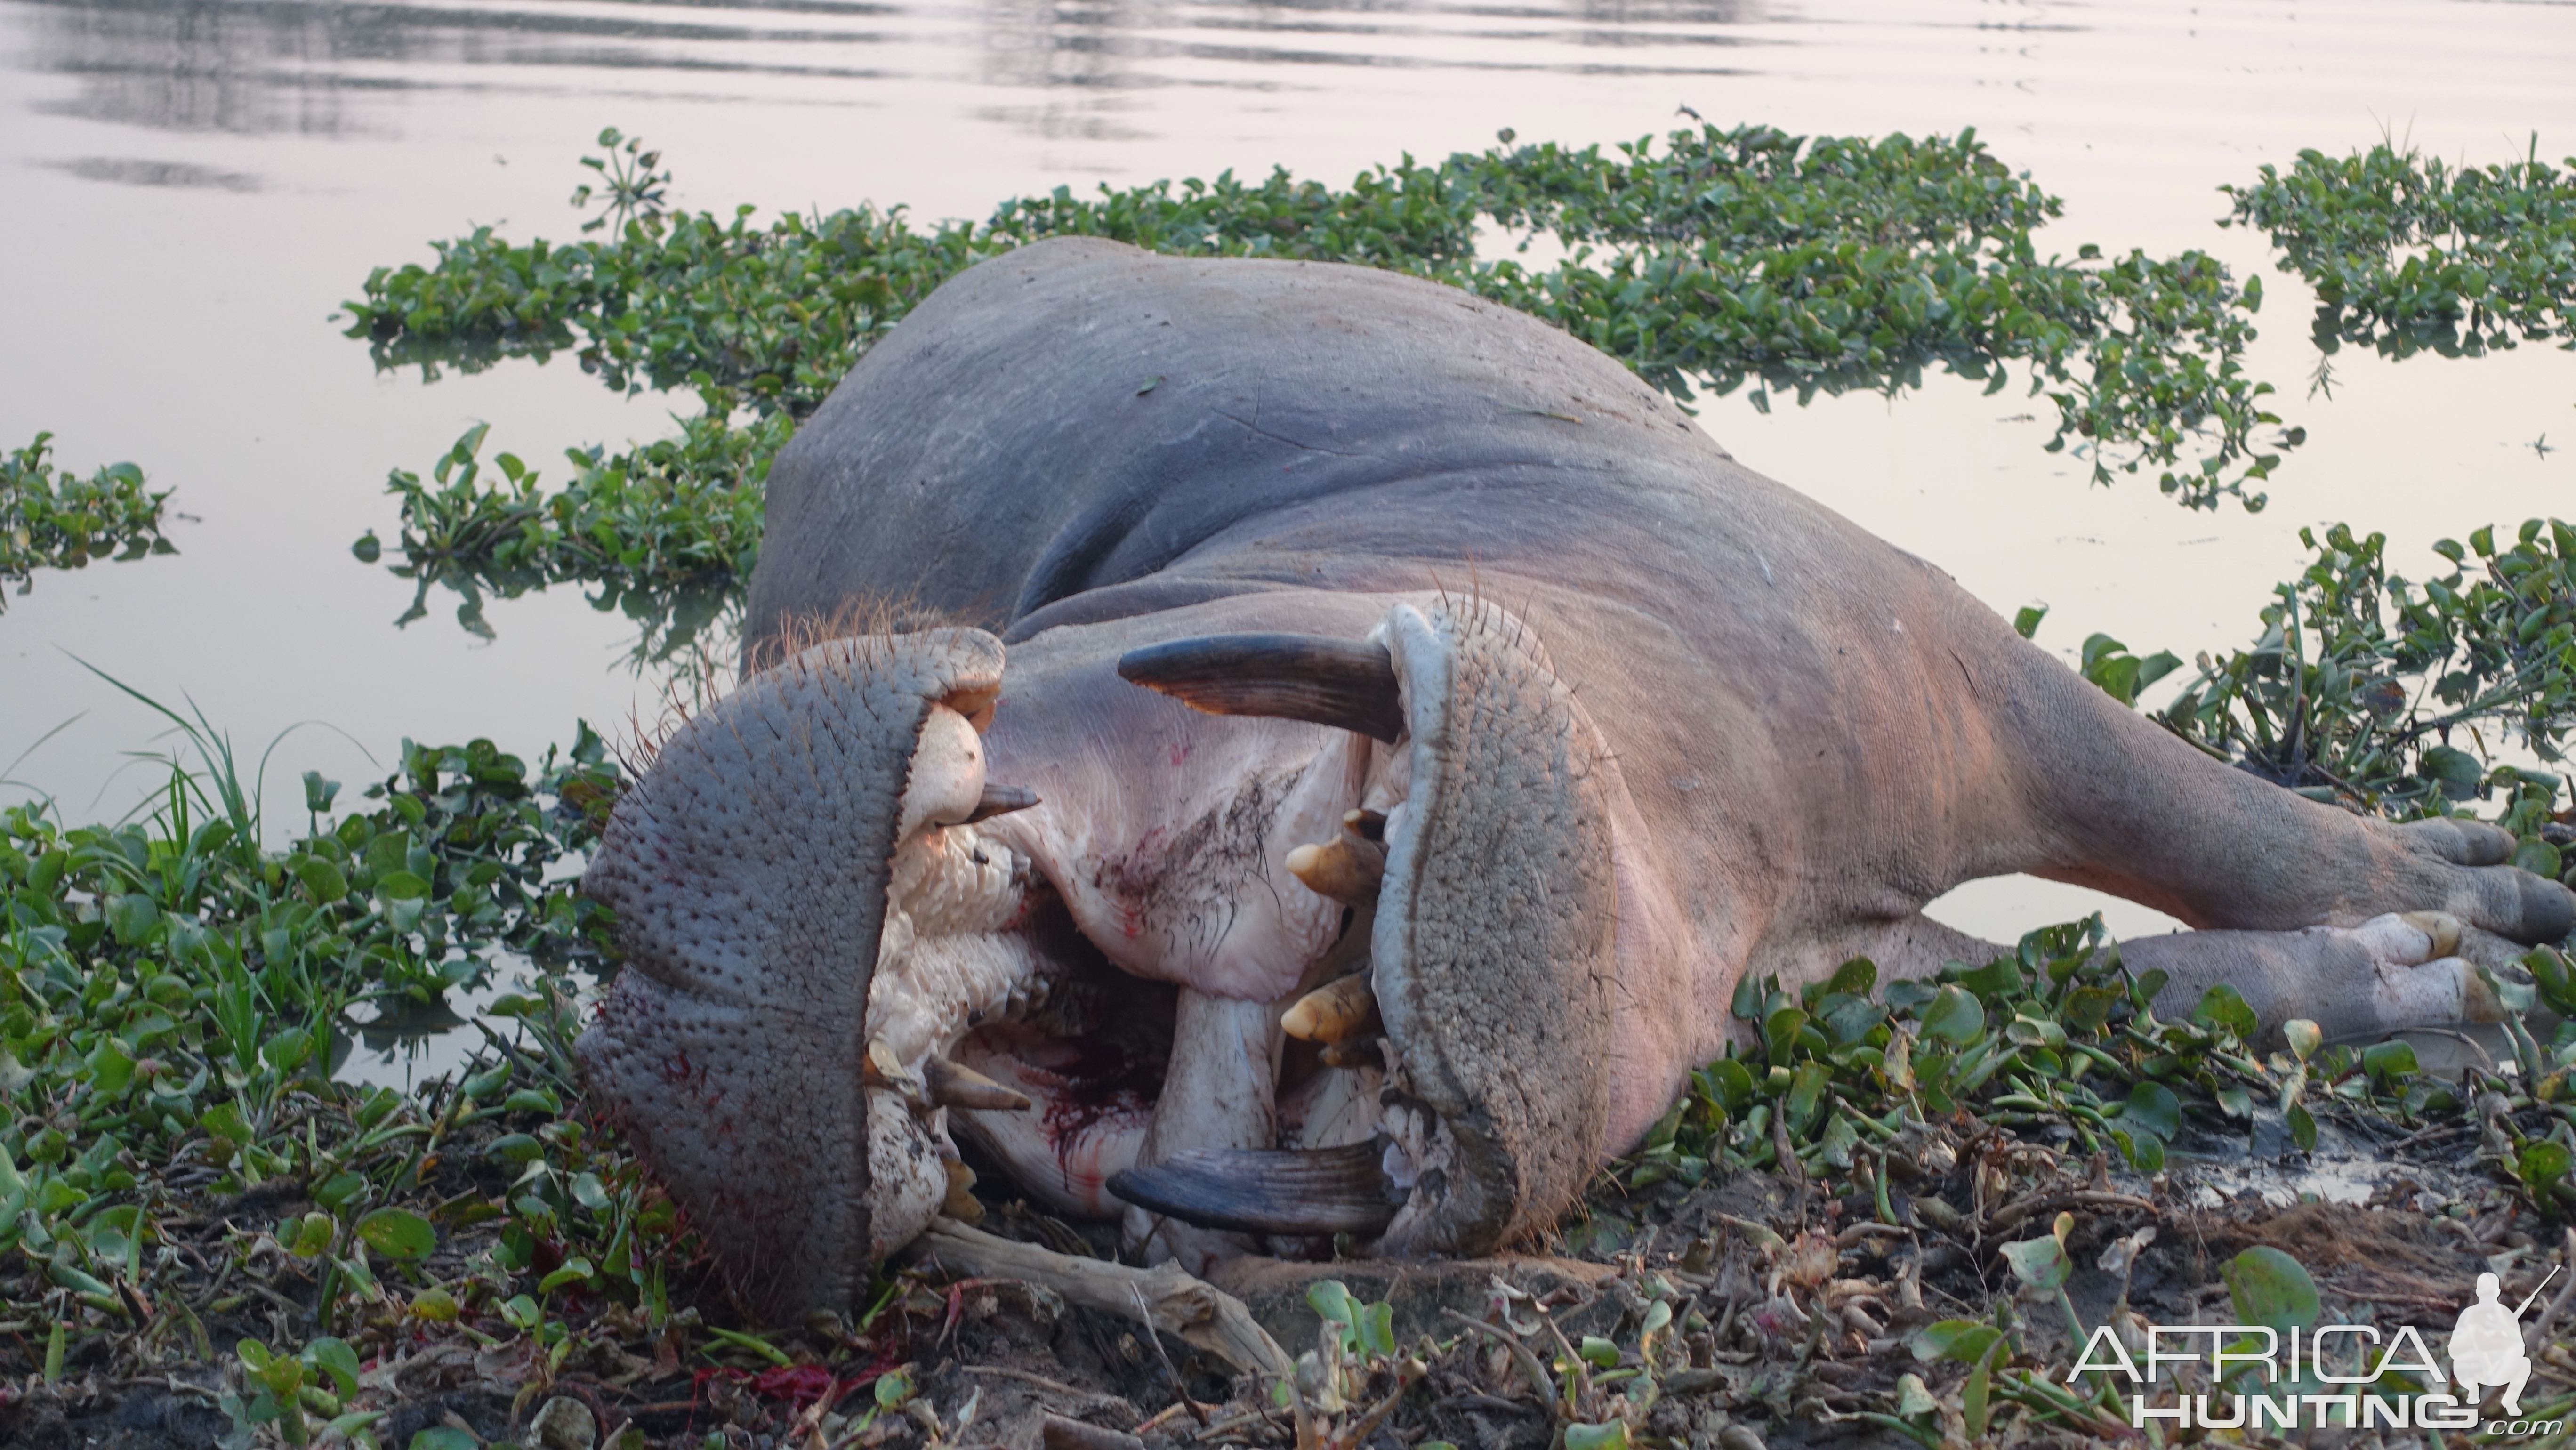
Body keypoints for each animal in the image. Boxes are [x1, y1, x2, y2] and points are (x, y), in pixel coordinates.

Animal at [574, 235, 2566, 1318]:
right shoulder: (1819, 964)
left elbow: (2208, 824)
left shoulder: (1936, 658)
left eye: (1047, 620)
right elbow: (2097, 976)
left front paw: (2488, 919)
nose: (652, 995)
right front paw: (2460, 989)